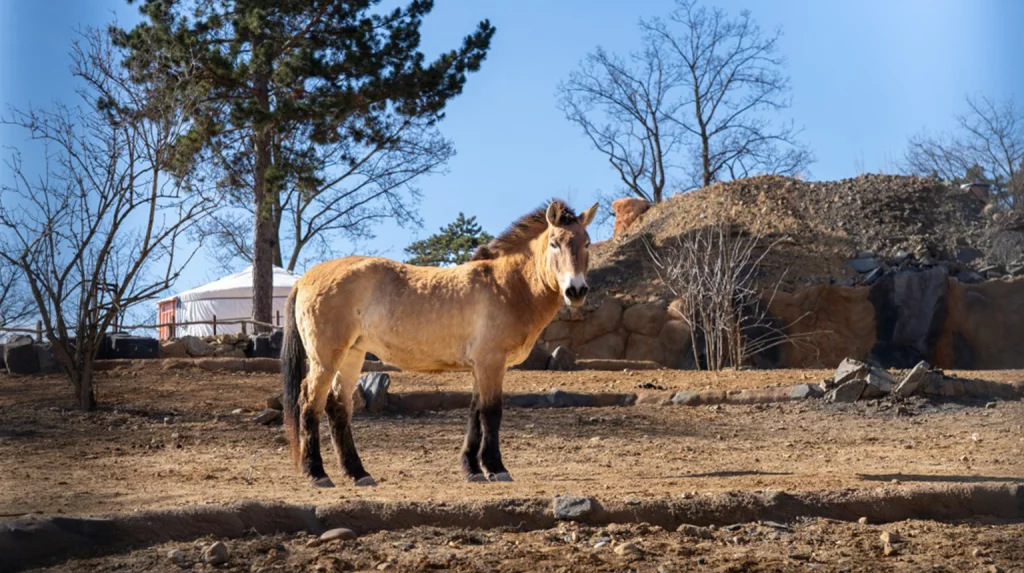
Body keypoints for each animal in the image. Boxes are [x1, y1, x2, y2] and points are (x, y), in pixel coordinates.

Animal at [280, 199, 598, 485]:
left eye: (586, 243)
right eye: (555, 243)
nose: (576, 291)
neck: (506, 285)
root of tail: (306, 278)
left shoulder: (480, 367)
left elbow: (475, 412)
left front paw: (472, 469)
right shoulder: (491, 363)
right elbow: (491, 412)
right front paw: (496, 468)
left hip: (352, 354)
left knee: (338, 406)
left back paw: (358, 473)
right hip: (326, 358)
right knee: (310, 403)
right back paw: (317, 473)